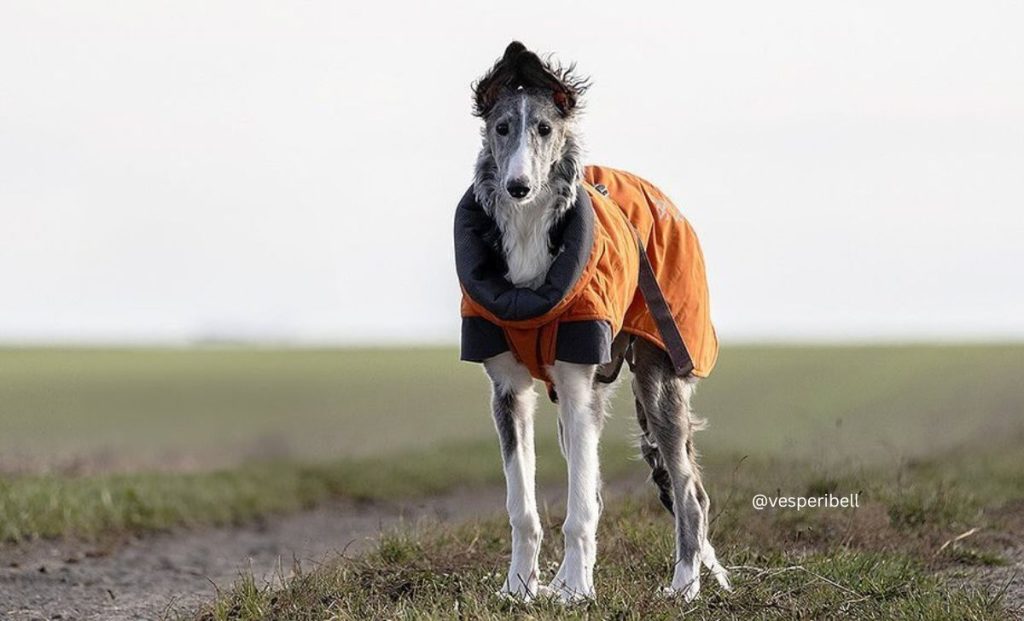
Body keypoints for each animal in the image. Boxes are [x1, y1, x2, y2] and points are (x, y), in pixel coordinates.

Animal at [454, 42, 729, 602]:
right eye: (501, 127)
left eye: (544, 128)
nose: (518, 186)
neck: (529, 231)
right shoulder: (509, 389)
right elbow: (523, 508)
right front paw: (520, 589)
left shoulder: (578, 381)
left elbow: (579, 509)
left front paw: (581, 591)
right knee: (602, 491)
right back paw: (559, 584)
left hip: (658, 377)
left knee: (690, 494)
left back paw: (683, 587)